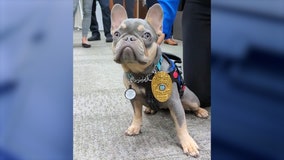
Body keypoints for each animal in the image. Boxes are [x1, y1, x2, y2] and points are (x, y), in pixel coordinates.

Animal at [111, 3, 209, 158]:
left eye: (146, 35)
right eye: (116, 34)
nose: (129, 38)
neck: (142, 74)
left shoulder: (175, 103)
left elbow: (181, 125)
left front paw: (188, 143)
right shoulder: (134, 99)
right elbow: (136, 114)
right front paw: (135, 127)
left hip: (190, 100)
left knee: (194, 106)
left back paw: (201, 111)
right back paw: (150, 108)